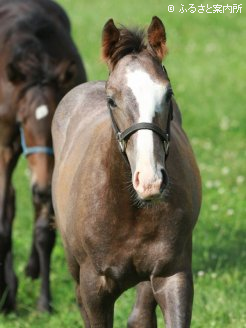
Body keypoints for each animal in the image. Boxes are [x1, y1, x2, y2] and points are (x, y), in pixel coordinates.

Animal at [0, 0, 86, 312]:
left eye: (55, 125)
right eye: (23, 120)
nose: (41, 186)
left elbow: (44, 231)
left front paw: (43, 302)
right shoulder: (4, 147)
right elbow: (3, 219)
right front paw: (6, 296)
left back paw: (31, 269)